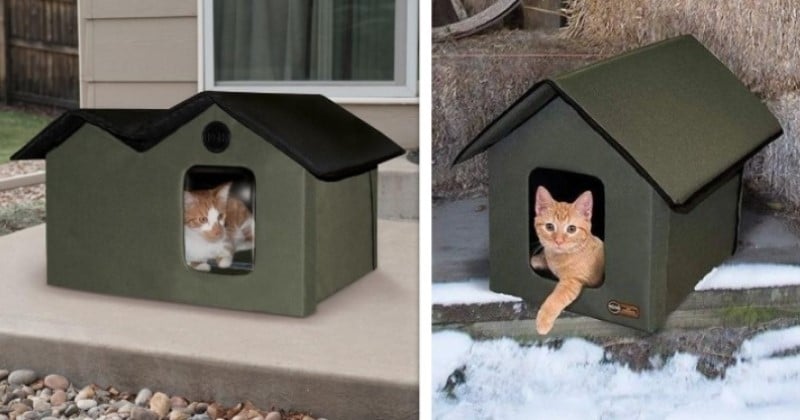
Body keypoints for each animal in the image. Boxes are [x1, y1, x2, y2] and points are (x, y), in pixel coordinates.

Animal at [532, 187, 600, 334]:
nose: (558, 241)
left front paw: (543, 321)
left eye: (572, 229)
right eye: (549, 227)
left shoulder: (572, 281)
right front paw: (538, 259)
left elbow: (556, 298)